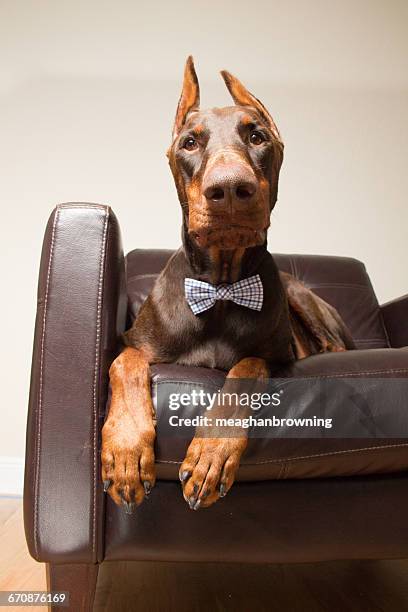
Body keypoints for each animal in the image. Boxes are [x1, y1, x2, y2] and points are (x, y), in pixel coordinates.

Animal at [101, 57, 354, 512]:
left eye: (257, 136)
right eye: (189, 143)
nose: (231, 189)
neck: (220, 288)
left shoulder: (277, 358)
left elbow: (246, 368)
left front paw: (211, 455)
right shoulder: (133, 342)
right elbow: (124, 364)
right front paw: (127, 451)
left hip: (301, 295)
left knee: (334, 347)